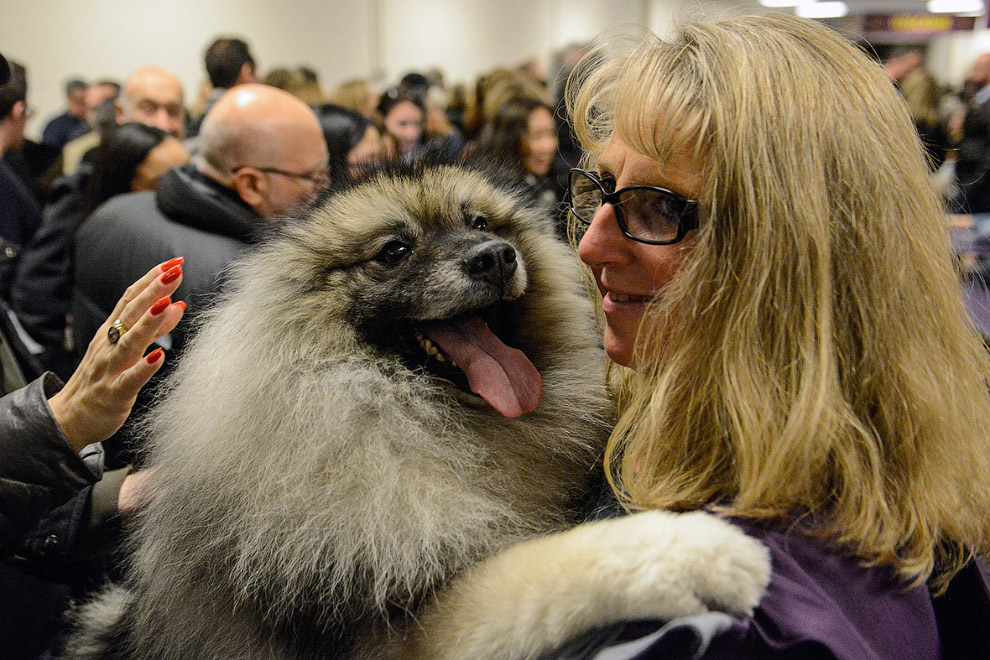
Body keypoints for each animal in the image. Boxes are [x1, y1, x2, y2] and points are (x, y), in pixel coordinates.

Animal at [66, 162, 772, 656]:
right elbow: (555, 565)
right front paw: (697, 550)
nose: (495, 258)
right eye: (394, 252)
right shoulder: (400, 626)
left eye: (481, 225)